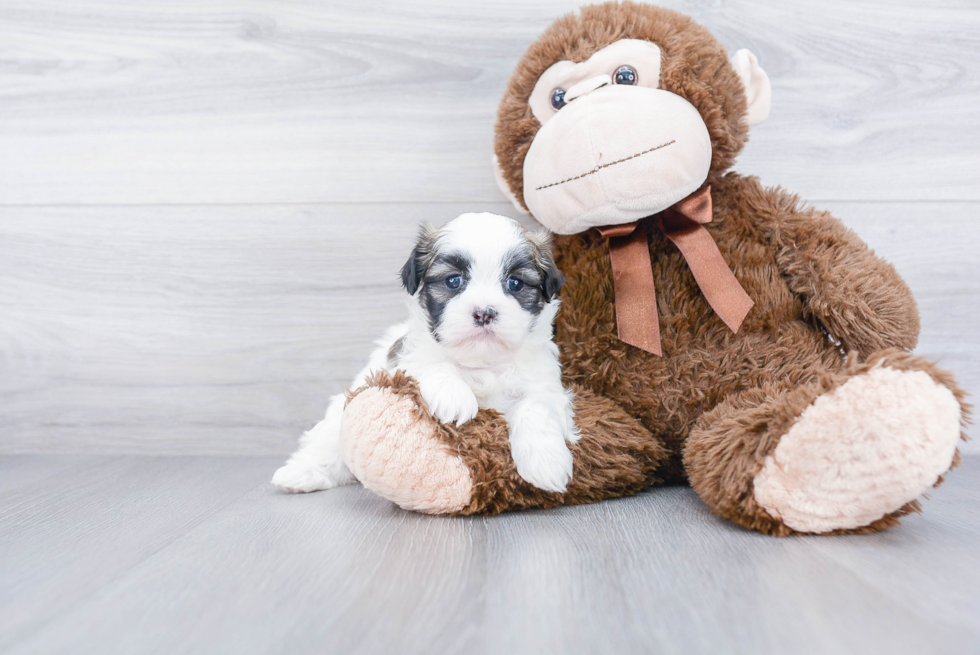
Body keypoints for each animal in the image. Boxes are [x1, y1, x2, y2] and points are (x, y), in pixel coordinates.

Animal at [272, 213, 580, 494]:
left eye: (515, 284)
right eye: (453, 281)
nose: (484, 312)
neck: (481, 362)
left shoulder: (546, 385)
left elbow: (536, 406)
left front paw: (546, 463)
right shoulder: (401, 362)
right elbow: (432, 364)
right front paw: (454, 396)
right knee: (327, 445)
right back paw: (300, 474)